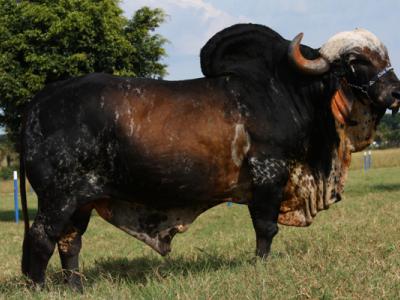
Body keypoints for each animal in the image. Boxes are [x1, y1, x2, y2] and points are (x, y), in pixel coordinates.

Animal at [20, 24, 400, 290]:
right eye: (356, 62)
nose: (396, 92)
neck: (289, 91)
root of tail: (41, 100)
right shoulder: (269, 173)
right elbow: (266, 228)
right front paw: (261, 267)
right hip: (58, 197)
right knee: (41, 238)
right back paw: (39, 288)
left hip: (81, 201)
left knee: (70, 243)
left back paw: (77, 287)